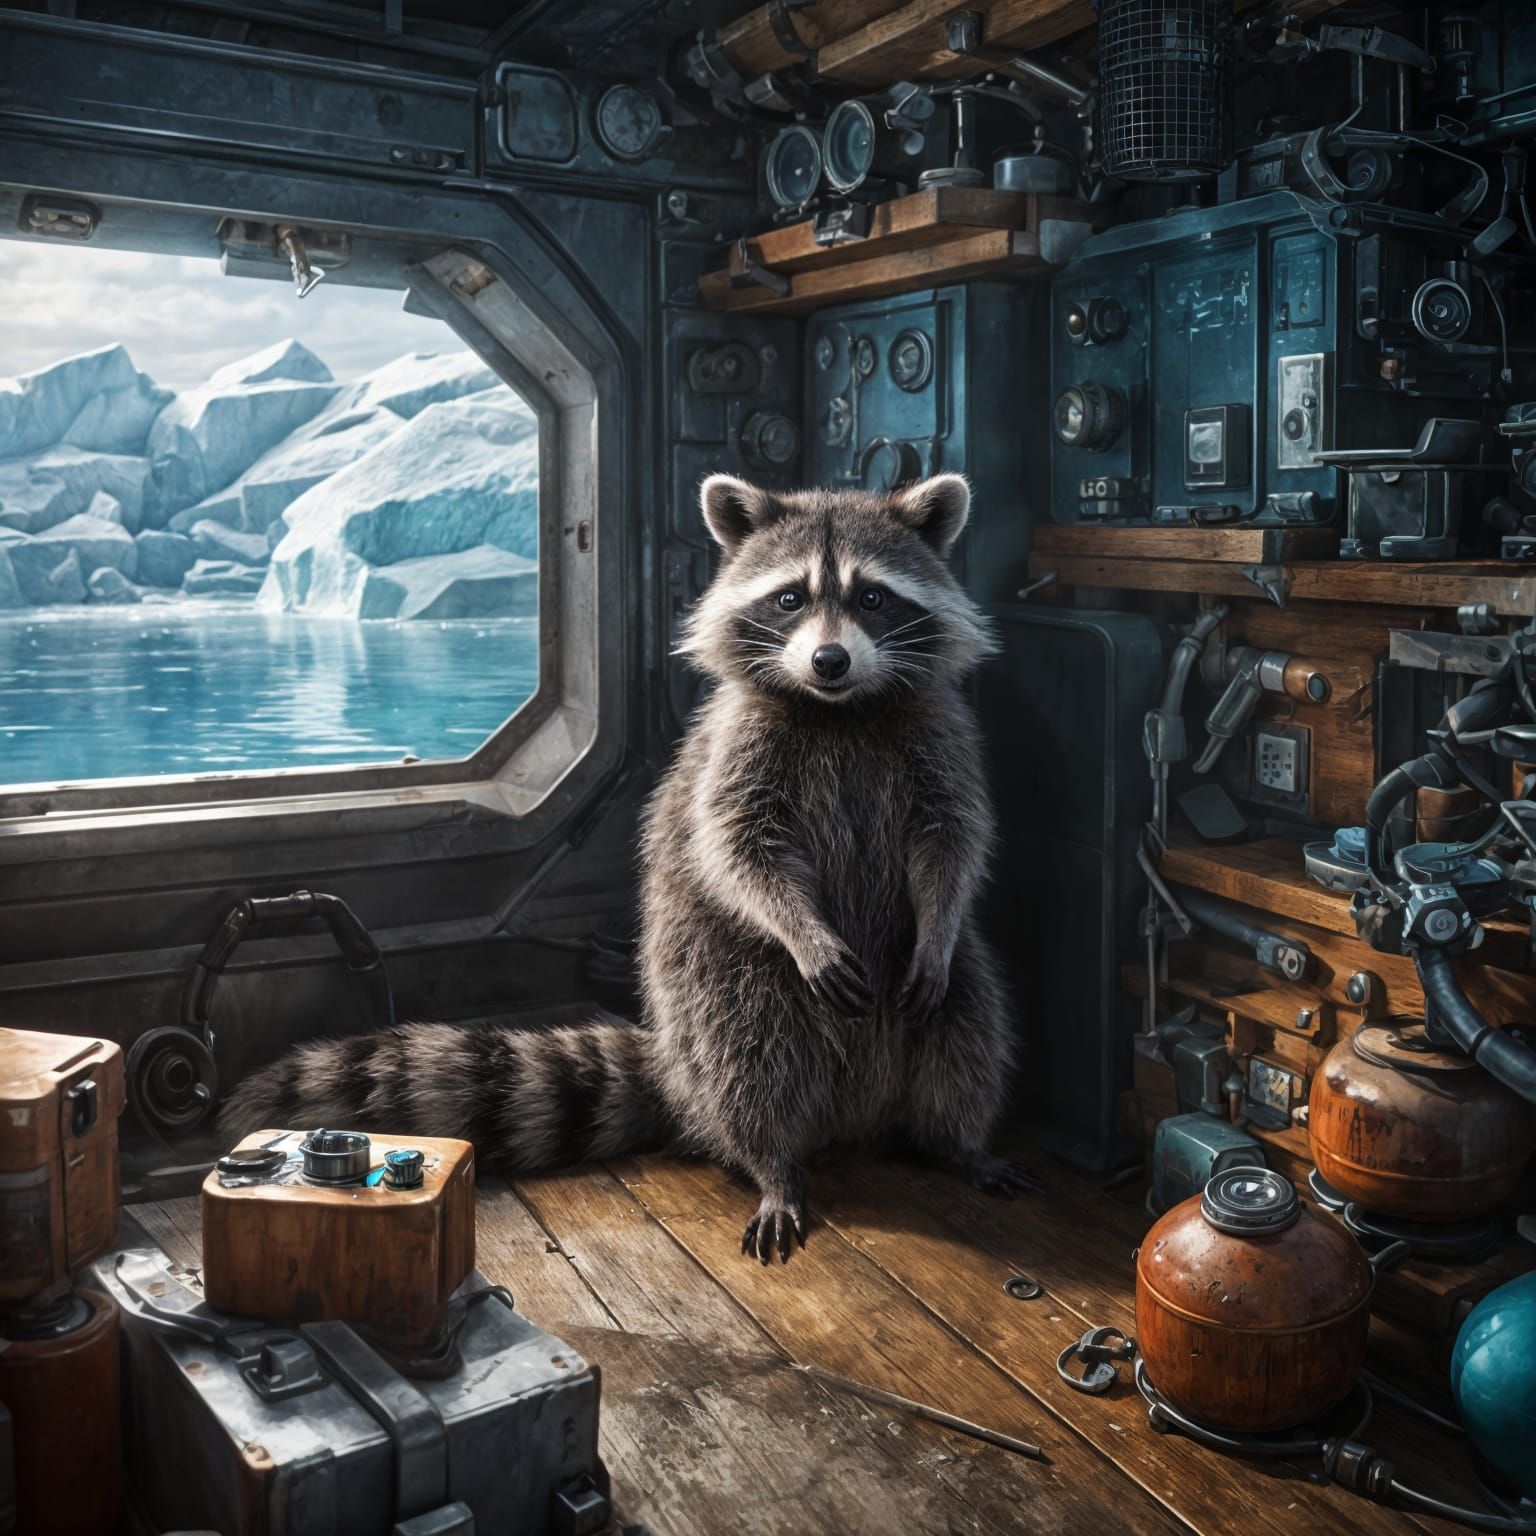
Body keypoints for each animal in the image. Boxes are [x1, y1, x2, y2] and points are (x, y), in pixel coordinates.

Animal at [220, 473, 1032, 1264]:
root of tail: (850, 1113)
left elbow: (952, 842)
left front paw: (941, 919)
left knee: (969, 1021)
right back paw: (773, 1163)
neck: (839, 708)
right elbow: (741, 851)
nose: (828, 660)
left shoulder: (941, 736)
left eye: (871, 596)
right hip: (717, 978)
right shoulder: (739, 751)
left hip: (933, 985)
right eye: (790, 598)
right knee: (748, 1053)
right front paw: (802, 930)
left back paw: (955, 1139)